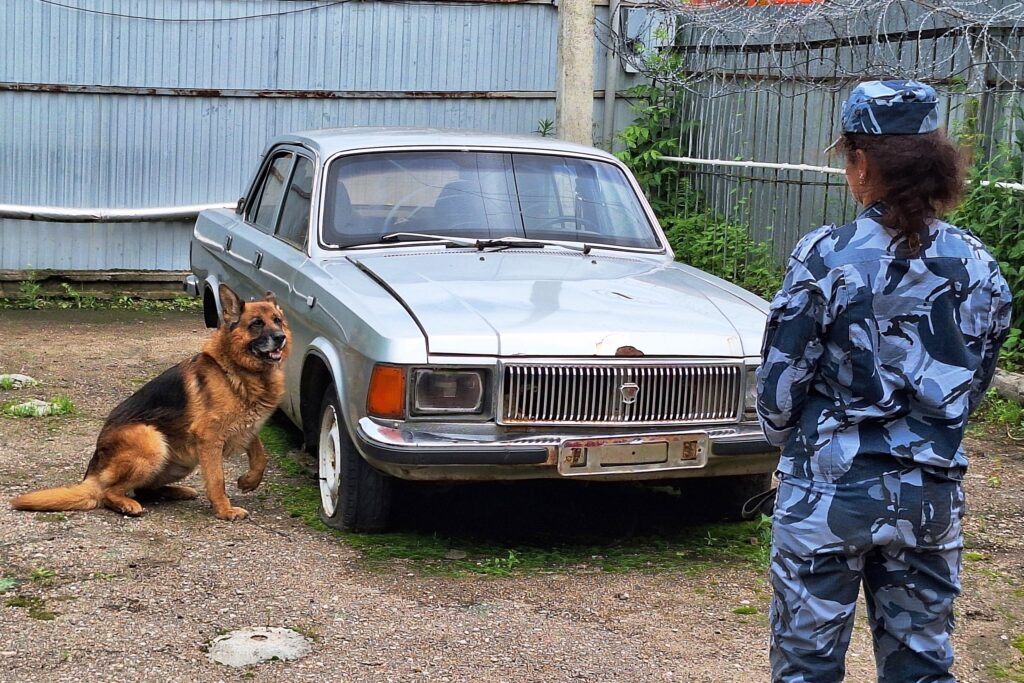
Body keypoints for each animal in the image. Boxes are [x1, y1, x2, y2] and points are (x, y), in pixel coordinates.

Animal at [11, 286, 292, 520]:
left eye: (277, 320)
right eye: (256, 324)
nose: (280, 337)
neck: (238, 370)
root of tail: (92, 473)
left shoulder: (247, 426)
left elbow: (261, 455)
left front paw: (249, 481)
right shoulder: (210, 438)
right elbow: (217, 480)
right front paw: (224, 510)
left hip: (180, 460)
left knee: (143, 490)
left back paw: (177, 492)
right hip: (151, 441)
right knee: (108, 493)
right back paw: (126, 504)